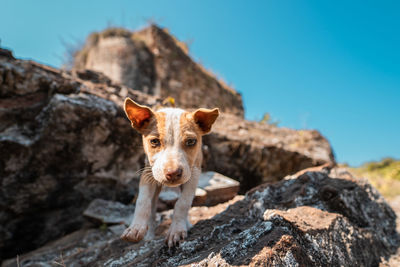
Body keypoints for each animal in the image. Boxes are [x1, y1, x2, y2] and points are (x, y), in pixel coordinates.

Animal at [121, 98, 219, 247]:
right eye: (154, 141)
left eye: (191, 141)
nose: (173, 173)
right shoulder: (148, 173)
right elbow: (143, 201)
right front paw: (136, 228)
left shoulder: (193, 175)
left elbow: (182, 203)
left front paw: (176, 230)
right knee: (153, 208)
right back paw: (149, 235)